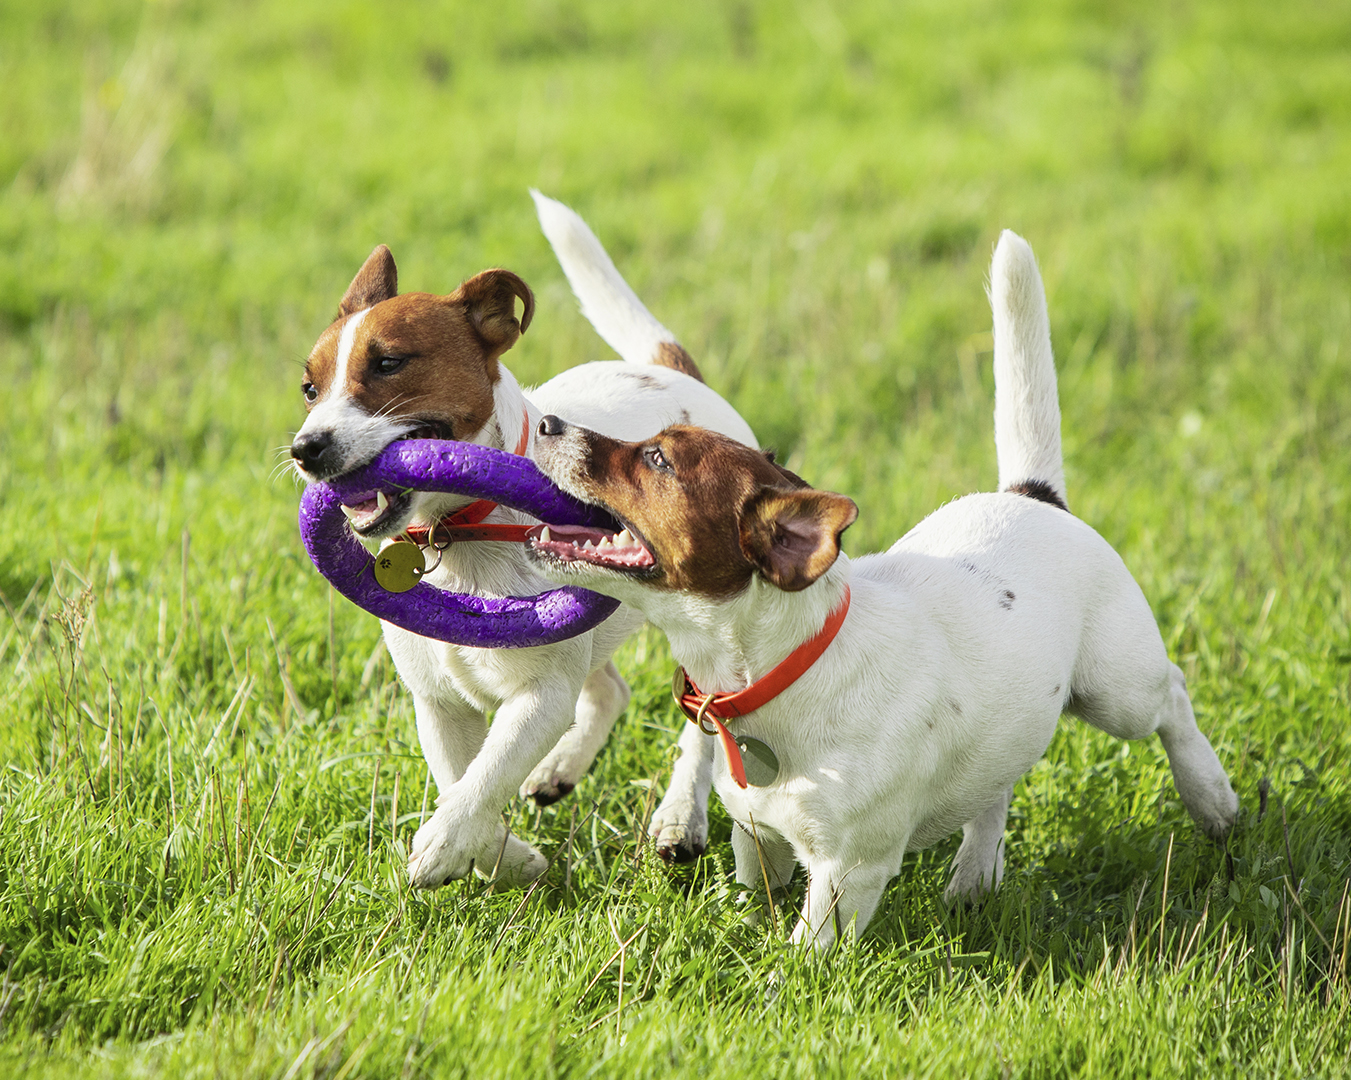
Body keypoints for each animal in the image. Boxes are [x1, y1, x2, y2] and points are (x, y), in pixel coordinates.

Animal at [290, 194, 756, 886]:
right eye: (309, 389)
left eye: (389, 362)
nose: (305, 449)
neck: (460, 534)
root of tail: (671, 373)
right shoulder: (438, 703)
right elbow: (461, 778)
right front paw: (506, 857)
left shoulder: (539, 696)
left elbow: (484, 777)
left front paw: (444, 845)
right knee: (609, 690)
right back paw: (559, 770)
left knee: (702, 723)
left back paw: (679, 818)